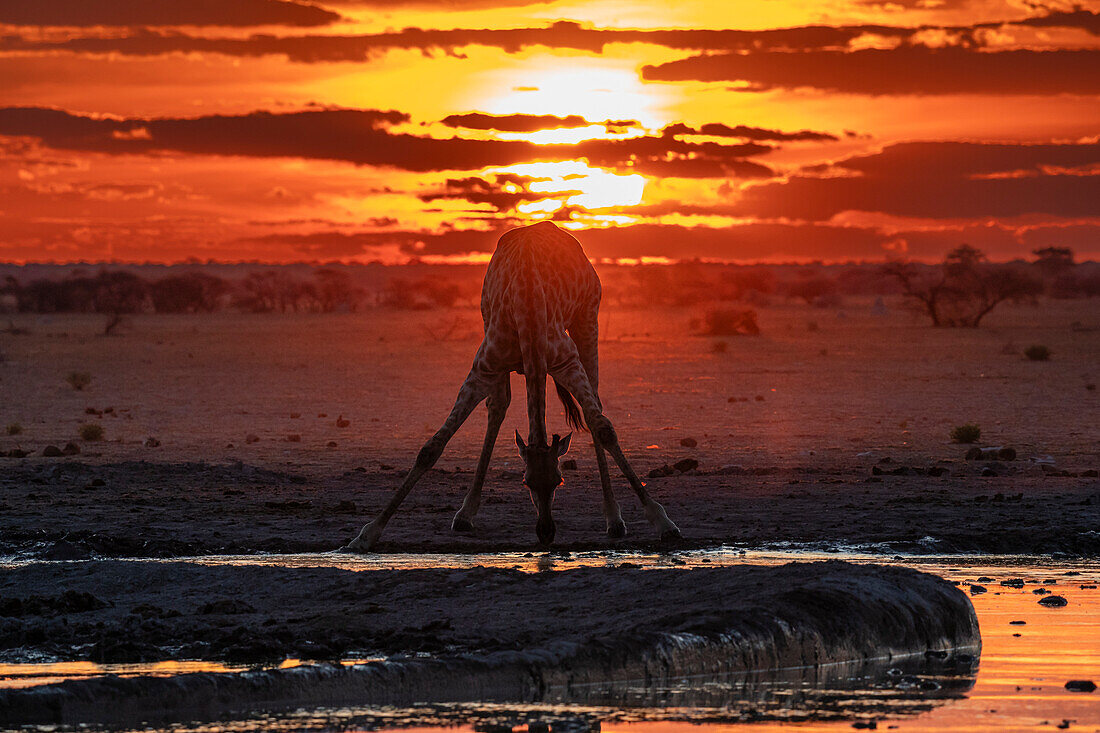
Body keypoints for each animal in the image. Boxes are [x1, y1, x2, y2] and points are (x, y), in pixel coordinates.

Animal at [347, 220, 682, 550]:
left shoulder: (566, 361)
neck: (528, 301)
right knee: (498, 408)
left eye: (559, 480)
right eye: (526, 481)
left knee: (595, 405)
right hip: (492, 334)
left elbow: (603, 428)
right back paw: (466, 514)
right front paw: (367, 533)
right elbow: (432, 447)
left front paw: (664, 523)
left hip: (588, 319)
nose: (546, 532)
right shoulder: (484, 367)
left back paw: (613, 519)